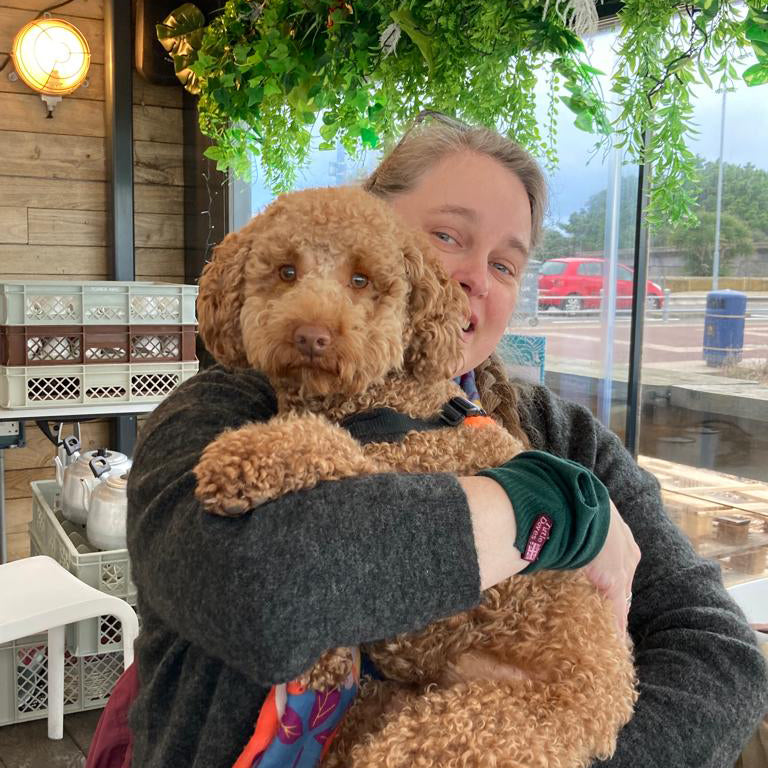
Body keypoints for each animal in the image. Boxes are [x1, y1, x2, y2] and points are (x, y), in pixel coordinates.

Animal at [192, 188, 636, 768]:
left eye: (361, 279)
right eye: (286, 271)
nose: (311, 336)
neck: (382, 400)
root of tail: (609, 712)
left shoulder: (404, 468)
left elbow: (323, 444)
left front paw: (244, 453)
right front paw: (324, 665)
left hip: (470, 731)